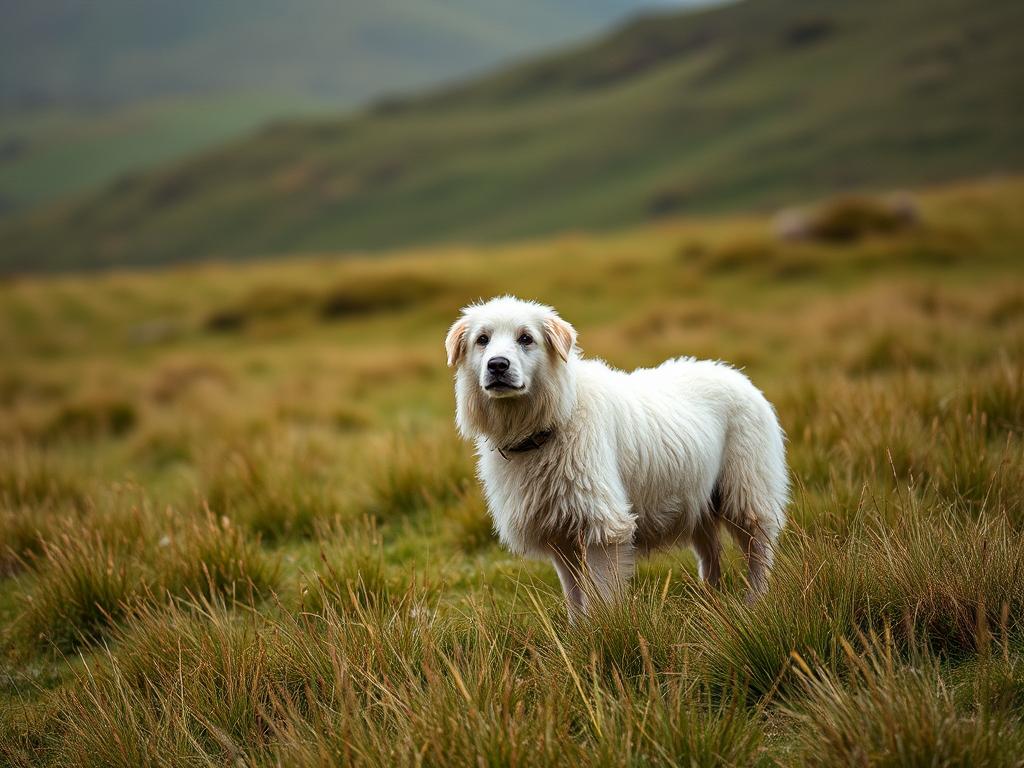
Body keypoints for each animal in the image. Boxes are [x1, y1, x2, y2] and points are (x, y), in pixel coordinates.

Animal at [444, 296, 786, 618]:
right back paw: (712, 604)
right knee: (711, 554)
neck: (556, 417)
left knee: (760, 550)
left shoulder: (603, 526)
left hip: (748, 491)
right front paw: (577, 633)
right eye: (482, 339)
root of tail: (734, 373)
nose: (497, 366)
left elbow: (602, 595)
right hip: (699, 501)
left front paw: (606, 630)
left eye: (526, 338)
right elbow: (574, 595)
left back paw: (755, 604)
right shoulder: (561, 535)